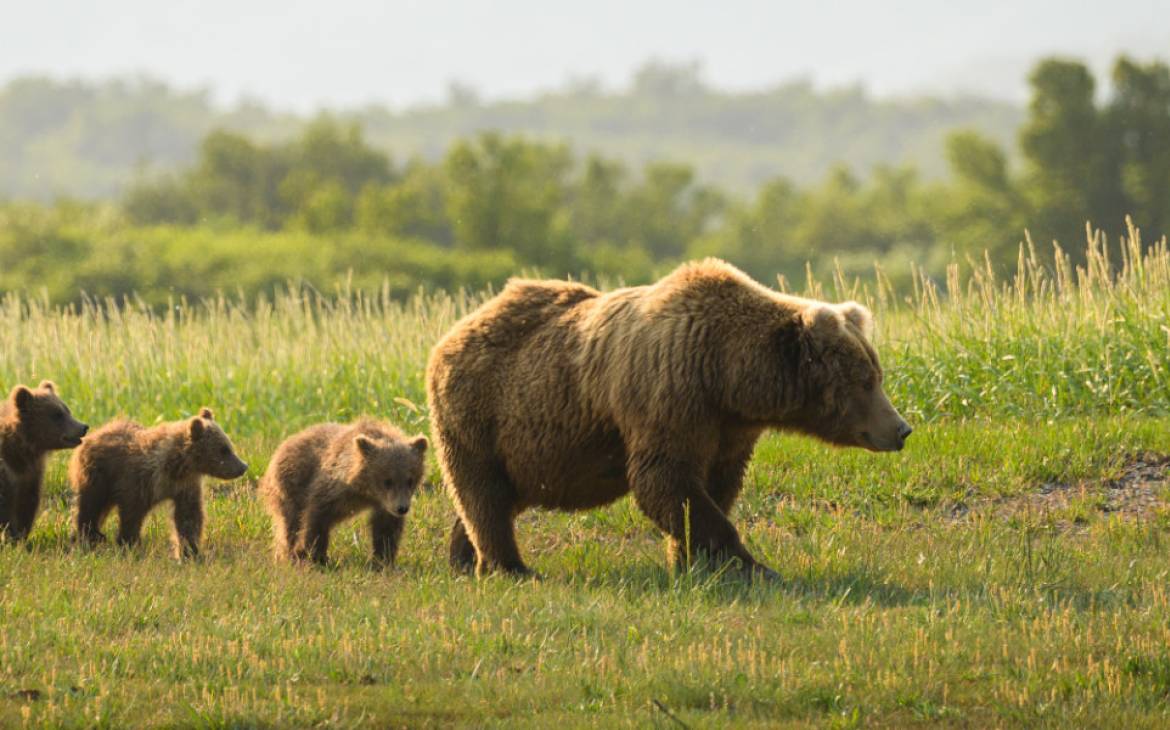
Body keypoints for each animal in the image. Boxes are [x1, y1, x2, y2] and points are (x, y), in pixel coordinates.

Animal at [0, 381, 87, 542]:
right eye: (57, 414)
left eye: (67, 410)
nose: (83, 427)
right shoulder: (7, 471)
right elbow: (6, 506)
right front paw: (11, 536)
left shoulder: (31, 475)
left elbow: (28, 503)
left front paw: (21, 536)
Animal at [68, 404, 246, 559]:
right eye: (224, 449)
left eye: (229, 444)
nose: (243, 466)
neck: (175, 467)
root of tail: (96, 432)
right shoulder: (138, 481)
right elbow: (132, 515)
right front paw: (129, 544)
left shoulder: (185, 486)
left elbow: (189, 516)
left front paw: (190, 551)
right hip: (97, 476)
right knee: (90, 505)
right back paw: (88, 537)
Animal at [260, 418, 430, 568]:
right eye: (387, 480)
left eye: (410, 480)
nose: (402, 508)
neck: (366, 493)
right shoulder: (331, 487)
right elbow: (315, 517)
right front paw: (314, 556)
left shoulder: (384, 505)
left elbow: (386, 529)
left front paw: (382, 561)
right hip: (289, 486)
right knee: (289, 524)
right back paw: (288, 554)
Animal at [425, 259, 907, 577]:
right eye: (866, 381)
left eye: (876, 373)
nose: (902, 428)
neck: (726, 374)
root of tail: (451, 334)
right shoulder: (671, 396)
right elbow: (665, 481)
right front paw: (750, 564)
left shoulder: (728, 428)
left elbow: (715, 485)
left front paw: (692, 560)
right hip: (480, 412)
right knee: (483, 493)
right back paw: (509, 567)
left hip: (527, 447)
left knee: (493, 495)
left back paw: (463, 557)